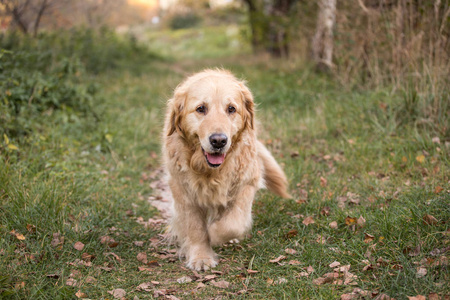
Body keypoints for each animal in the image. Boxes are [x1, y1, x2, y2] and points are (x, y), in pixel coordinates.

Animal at [163, 69, 290, 270]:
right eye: (201, 108)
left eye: (231, 109)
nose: (219, 141)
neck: (210, 172)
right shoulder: (182, 189)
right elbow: (195, 227)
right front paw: (201, 256)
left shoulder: (247, 182)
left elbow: (232, 223)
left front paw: (215, 234)